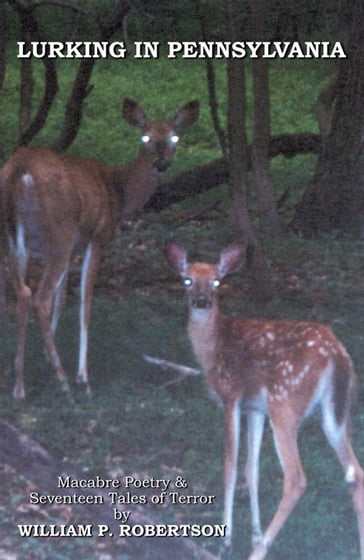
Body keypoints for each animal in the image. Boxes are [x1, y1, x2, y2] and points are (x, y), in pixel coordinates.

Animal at [0, 98, 199, 400]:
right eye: (145, 137)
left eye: (174, 136)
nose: (162, 163)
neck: (118, 191)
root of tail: (20, 171)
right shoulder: (97, 237)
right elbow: (85, 301)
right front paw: (83, 375)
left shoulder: (73, 245)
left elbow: (61, 298)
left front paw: (46, 356)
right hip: (60, 231)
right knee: (38, 298)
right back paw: (63, 381)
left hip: (13, 239)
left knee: (21, 293)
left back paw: (19, 383)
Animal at [165, 242, 364, 560]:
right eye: (187, 280)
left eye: (217, 282)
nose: (201, 301)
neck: (212, 348)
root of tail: (337, 353)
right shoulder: (255, 408)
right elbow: (252, 469)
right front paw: (254, 533)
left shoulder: (231, 396)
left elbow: (231, 467)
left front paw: (227, 541)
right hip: (335, 412)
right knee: (355, 472)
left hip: (284, 403)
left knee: (296, 478)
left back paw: (258, 552)